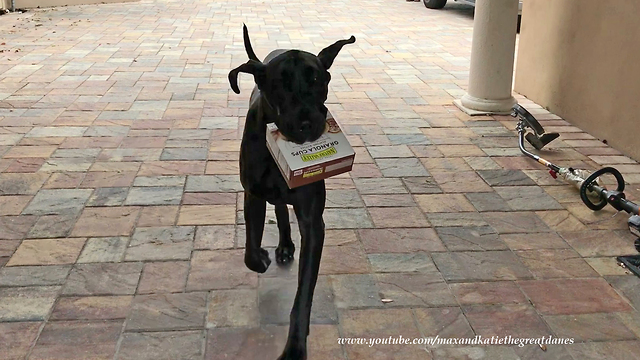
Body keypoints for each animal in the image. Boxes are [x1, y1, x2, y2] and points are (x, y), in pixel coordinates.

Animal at [228, 26, 356, 360]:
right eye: (279, 85)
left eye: (318, 79)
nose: (307, 124)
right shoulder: (252, 194)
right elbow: (250, 248)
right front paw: (260, 258)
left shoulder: (313, 221)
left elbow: (304, 295)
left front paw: (295, 346)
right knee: (278, 208)